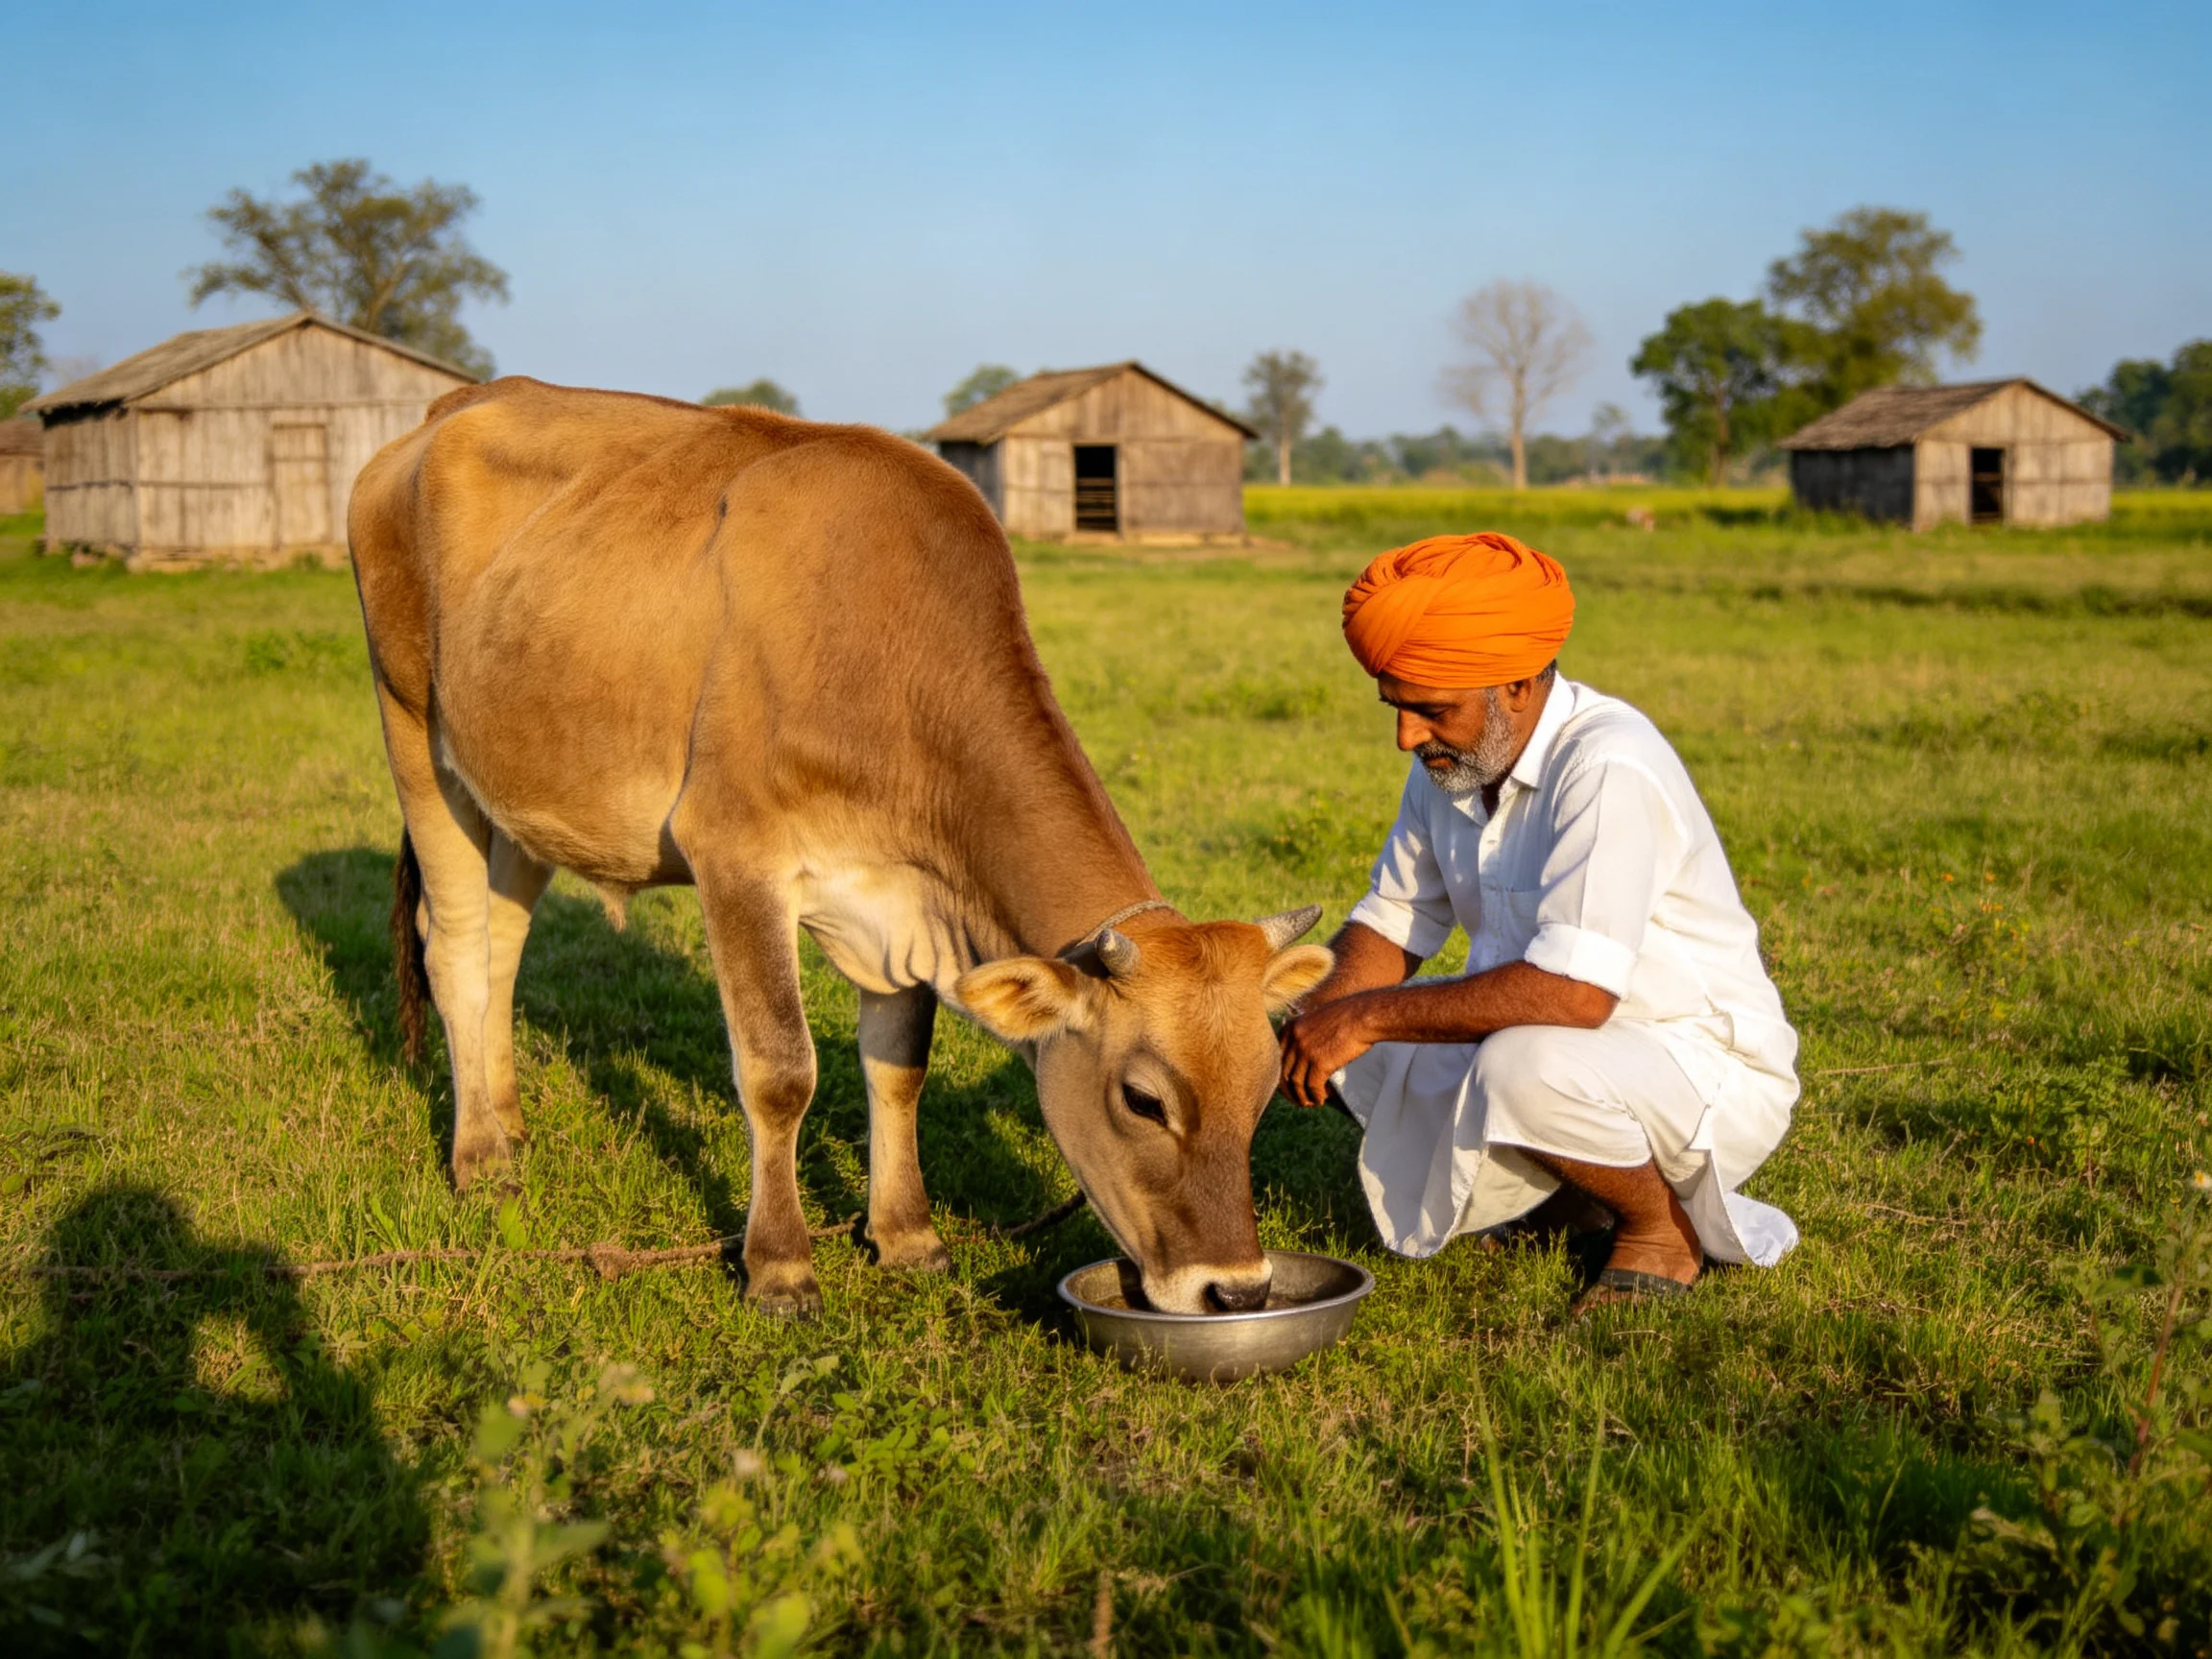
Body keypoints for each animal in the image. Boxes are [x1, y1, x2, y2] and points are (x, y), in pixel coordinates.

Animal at [345, 378, 1333, 1316]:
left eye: (1263, 1090)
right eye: (1143, 1099)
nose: (1236, 1290)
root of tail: (451, 407)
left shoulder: (899, 903)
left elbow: (899, 1066)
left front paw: (906, 1235)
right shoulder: (734, 856)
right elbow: (780, 1070)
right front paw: (780, 1266)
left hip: (522, 791)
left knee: (503, 948)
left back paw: (508, 1120)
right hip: (411, 734)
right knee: (456, 947)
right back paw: (480, 1156)